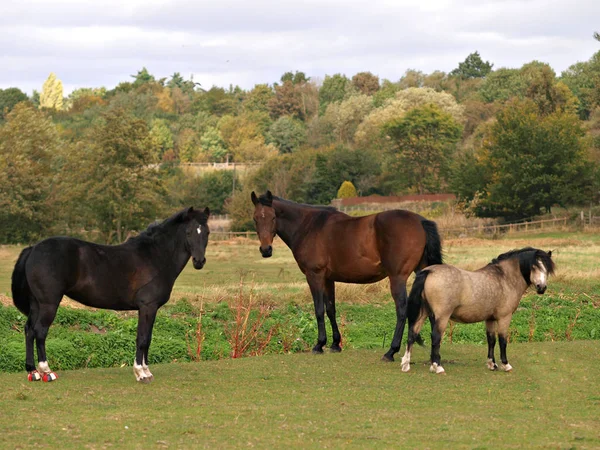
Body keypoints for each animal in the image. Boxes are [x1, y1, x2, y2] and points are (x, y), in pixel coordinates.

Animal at [11, 207, 211, 384]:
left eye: (207, 232)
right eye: (189, 232)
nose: (199, 261)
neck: (155, 257)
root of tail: (33, 249)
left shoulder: (151, 309)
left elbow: (148, 338)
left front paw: (146, 371)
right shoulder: (147, 307)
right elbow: (142, 338)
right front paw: (141, 374)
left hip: (36, 304)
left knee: (29, 330)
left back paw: (33, 371)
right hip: (49, 304)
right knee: (40, 331)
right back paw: (46, 371)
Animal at [251, 191, 442, 362]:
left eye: (273, 217)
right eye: (255, 218)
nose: (266, 250)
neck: (309, 227)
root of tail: (420, 221)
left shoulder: (314, 276)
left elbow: (319, 310)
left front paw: (319, 345)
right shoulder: (328, 279)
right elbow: (330, 309)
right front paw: (335, 344)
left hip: (397, 277)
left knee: (402, 310)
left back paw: (391, 352)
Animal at [400, 248, 556, 374]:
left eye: (546, 269)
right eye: (534, 266)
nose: (541, 287)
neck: (504, 278)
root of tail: (429, 271)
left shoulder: (490, 319)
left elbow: (491, 340)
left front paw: (492, 364)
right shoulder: (504, 318)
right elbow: (502, 340)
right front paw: (505, 365)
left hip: (423, 313)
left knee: (412, 333)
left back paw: (406, 364)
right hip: (441, 317)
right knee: (435, 337)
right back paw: (437, 367)